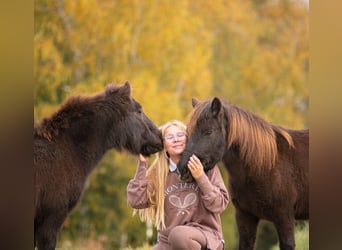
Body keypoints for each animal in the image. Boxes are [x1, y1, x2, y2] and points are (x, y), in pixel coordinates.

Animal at [178, 97, 308, 250]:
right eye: (188, 131)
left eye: (208, 132)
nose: (183, 169)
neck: (265, 165)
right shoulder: (245, 217)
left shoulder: (285, 218)